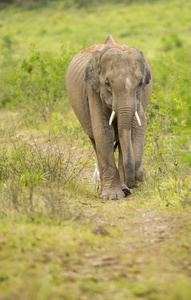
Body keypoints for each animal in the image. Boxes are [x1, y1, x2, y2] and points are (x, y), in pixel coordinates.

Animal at [66, 34, 153, 199]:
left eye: (140, 84)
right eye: (107, 83)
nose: (130, 185)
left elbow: (138, 129)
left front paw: (136, 178)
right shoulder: (93, 91)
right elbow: (104, 132)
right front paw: (112, 197)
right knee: (96, 141)